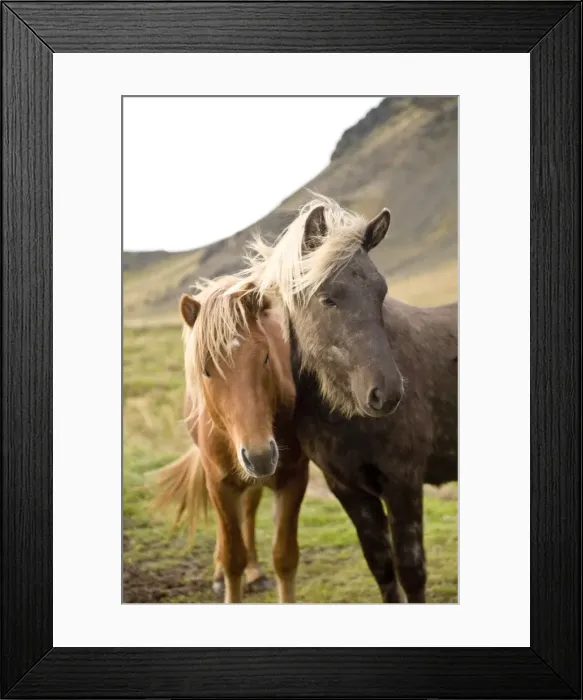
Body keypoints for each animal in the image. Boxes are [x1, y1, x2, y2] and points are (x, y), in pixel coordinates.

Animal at [152, 276, 309, 603]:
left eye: (266, 357)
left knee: (248, 510)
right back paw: (219, 575)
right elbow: (231, 556)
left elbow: (285, 557)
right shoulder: (220, 484)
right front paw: (226, 577)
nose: (260, 455)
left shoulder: (293, 478)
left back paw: (255, 572)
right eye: (206, 370)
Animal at [248, 196, 458, 603]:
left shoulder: (403, 483)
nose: (385, 393)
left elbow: (412, 571)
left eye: (381, 293)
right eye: (327, 297)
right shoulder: (348, 490)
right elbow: (382, 568)